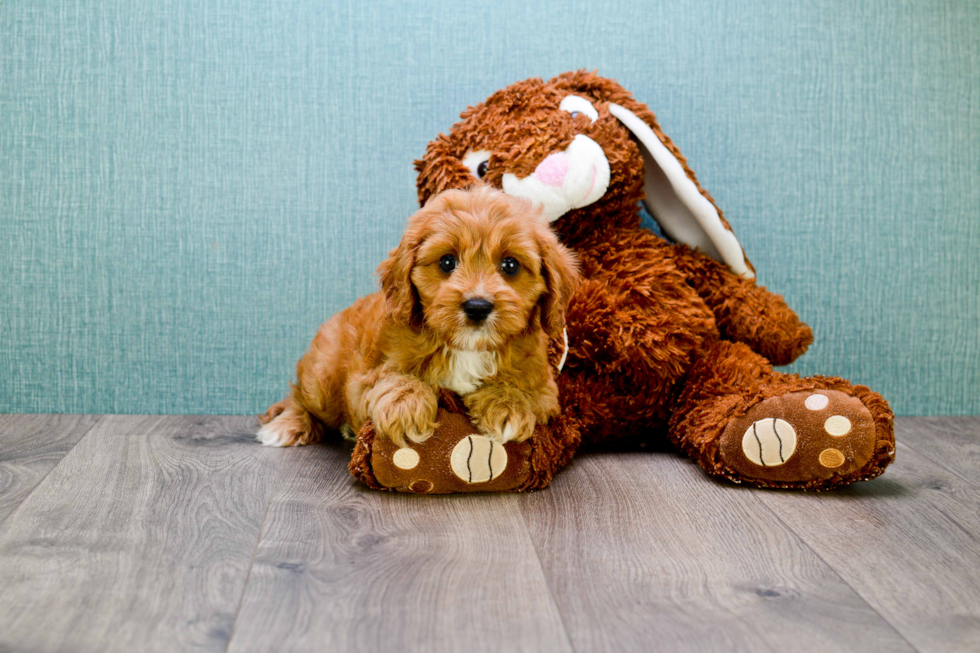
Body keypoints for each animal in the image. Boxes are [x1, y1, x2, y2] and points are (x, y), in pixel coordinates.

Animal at [260, 183, 580, 448]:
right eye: (447, 262)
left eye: (510, 265)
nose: (477, 306)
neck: (467, 348)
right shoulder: (364, 376)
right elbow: (393, 377)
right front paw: (405, 404)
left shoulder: (546, 390)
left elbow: (525, 391)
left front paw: (507, 406)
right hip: (323, 377)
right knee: (301, 398)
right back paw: (288, 425)